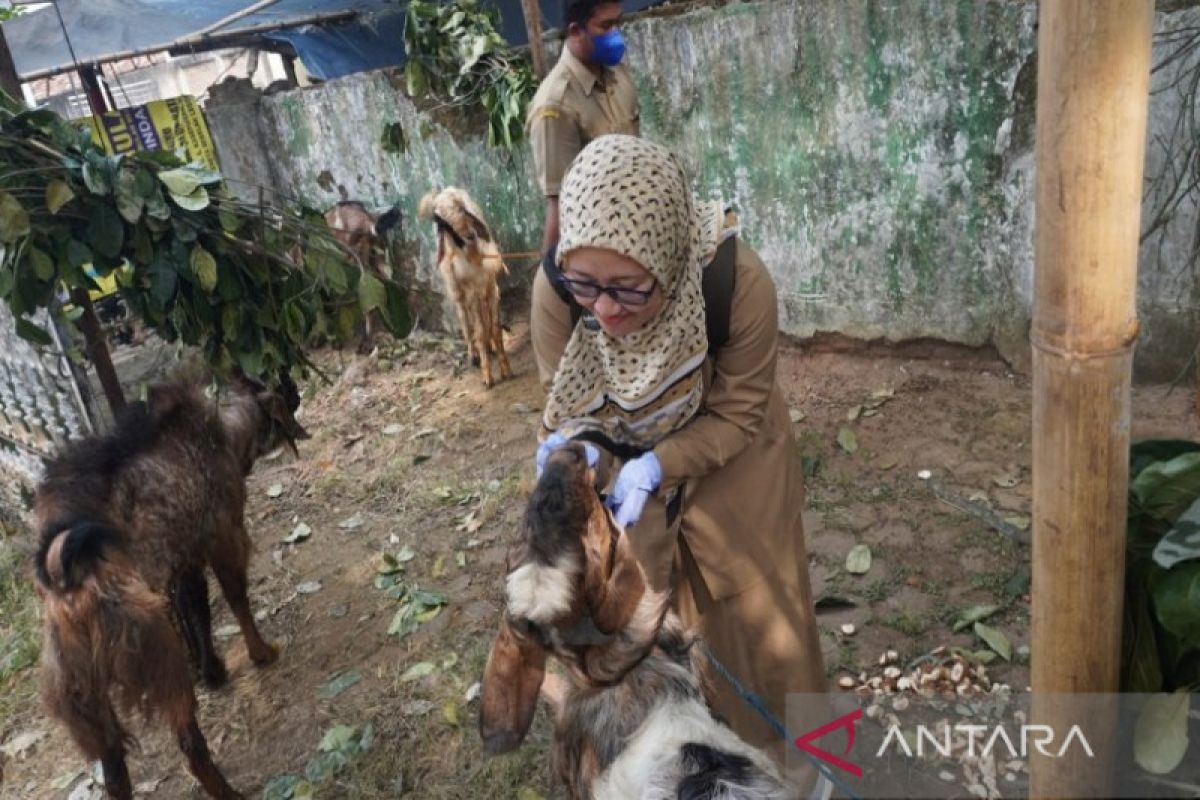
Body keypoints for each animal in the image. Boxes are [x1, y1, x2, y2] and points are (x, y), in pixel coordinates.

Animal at [33, 371, 309, 796]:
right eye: (278, 391)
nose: (293, 385)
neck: (220, 427)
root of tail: (66, 575)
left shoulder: (181, 564)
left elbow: (197, 611)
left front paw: (212, 669)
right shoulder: (222, 537)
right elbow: (236, 598)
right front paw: (260, 652)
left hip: (84, 693)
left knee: (115, 774)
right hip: (160, 659)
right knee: (190, 747)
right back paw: (228, 792)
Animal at [417, 188, 511, 388]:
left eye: (460, 208)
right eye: (440, 221)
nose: (469, 236)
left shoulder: (492, 289)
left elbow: (495, 327)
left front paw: (506, 369)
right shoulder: (472, 294)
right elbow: (479, 331)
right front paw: (487, 376)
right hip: (458, 294)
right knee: (466, 323)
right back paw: (473, 355)